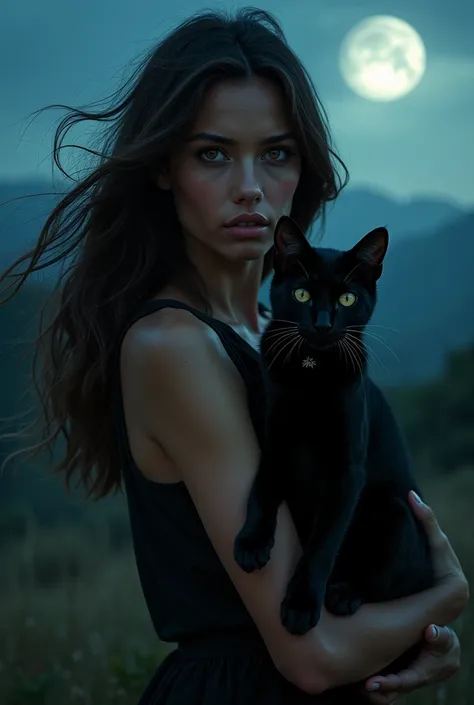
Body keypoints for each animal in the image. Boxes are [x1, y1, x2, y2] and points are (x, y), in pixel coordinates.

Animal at [233, 214, 434, 640]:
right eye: (302, 295)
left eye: (347, 299)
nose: (323, 324)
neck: (312, 375)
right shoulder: (276, 439)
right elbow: (262, 488)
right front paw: (252, 542)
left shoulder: (347, 470)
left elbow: (323, 542)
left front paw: (300, 605)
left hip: (393, 509)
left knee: (402, 583)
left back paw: (343, 594)